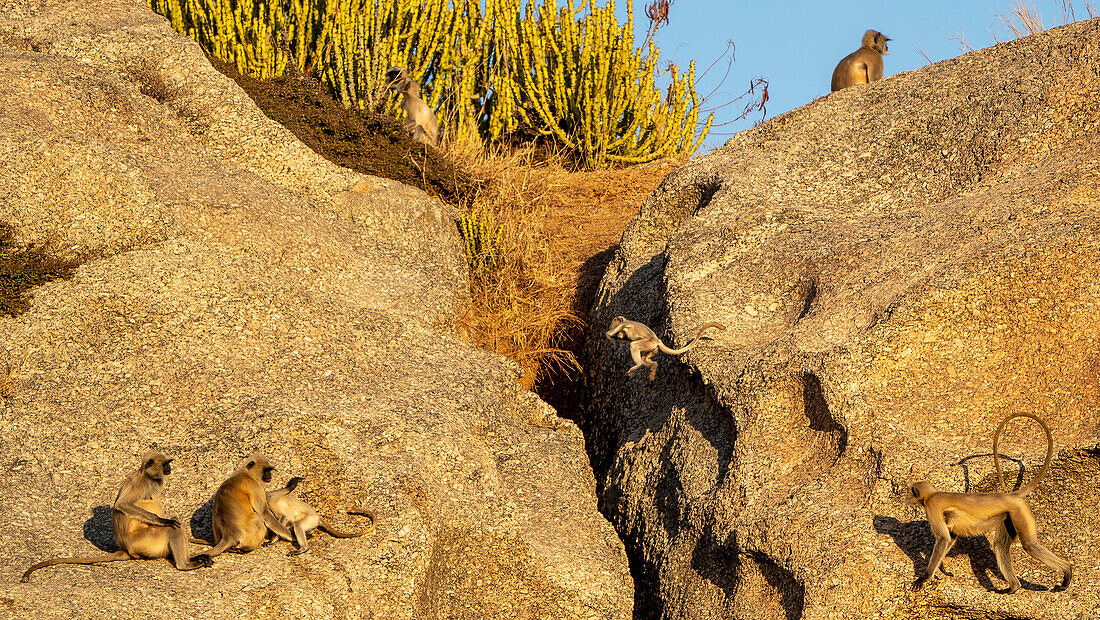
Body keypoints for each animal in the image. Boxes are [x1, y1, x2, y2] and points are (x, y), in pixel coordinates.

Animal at [19, 450, 211, 580]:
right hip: (145, 541)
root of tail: (125, 548)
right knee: (173, 527)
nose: (169, 468)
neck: (146, 476)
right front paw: (164, 520)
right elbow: (123, 505)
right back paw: (184, 565)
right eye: (165, 464)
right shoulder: (140, 484)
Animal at [910, 413, 1073, 593]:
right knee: (1000, 546)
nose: (908, 498)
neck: (932, 495)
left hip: (1019, 512)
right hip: (1008, 516)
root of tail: (1009, 496)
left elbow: (944, 539)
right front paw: (942, 568)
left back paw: (1067, 571)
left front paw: (925, 577)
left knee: (1029, 545)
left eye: (911, 491)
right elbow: (950, 536)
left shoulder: (932, 507)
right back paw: (1013, 587)